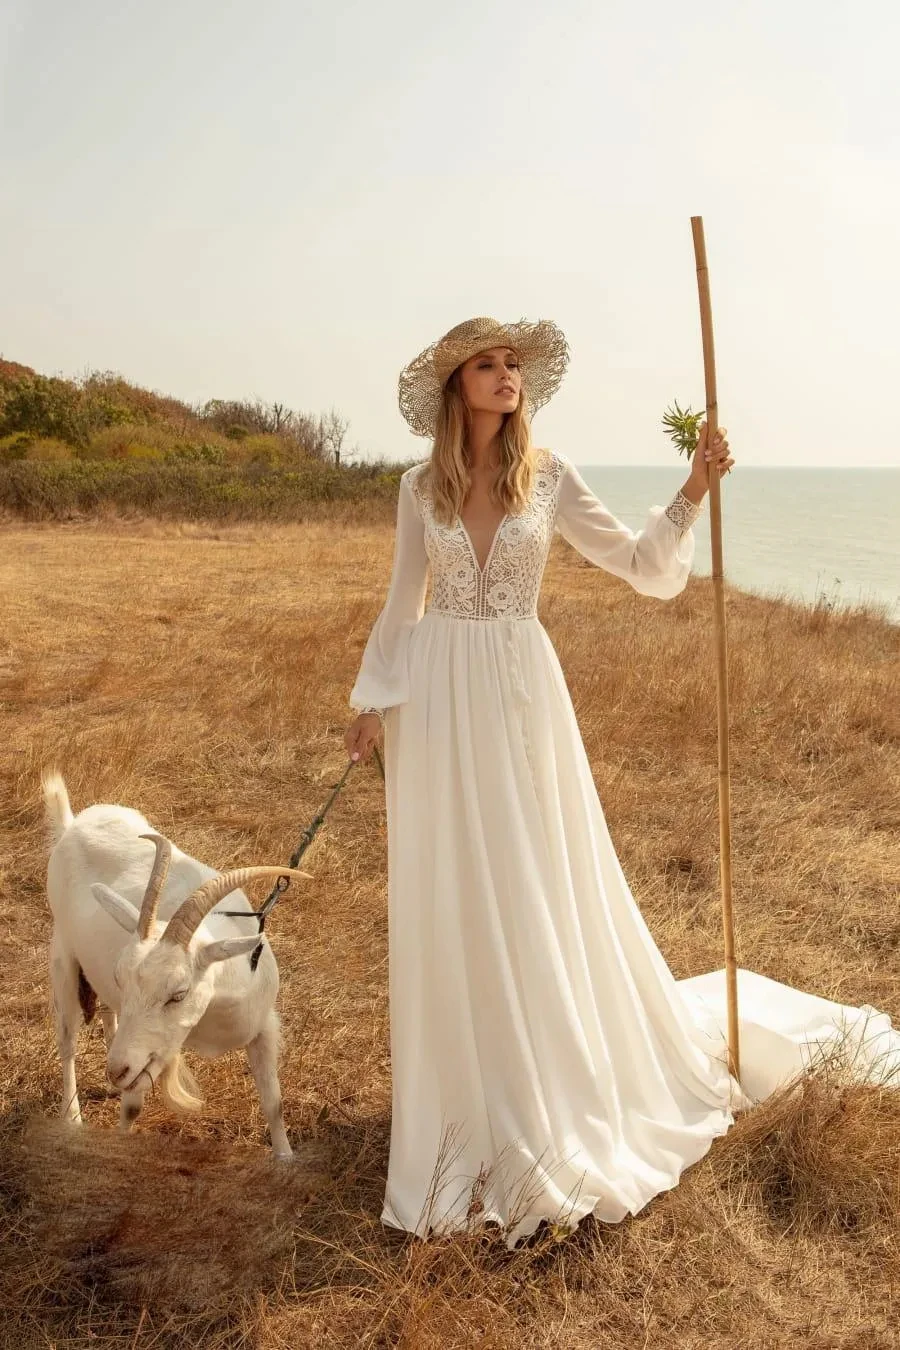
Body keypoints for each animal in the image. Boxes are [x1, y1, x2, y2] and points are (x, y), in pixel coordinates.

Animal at [44, 766, 310, 1155]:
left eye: (178, 994)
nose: (117, 1070)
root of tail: (71, 824)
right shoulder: (151, 1055)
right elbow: (134, 1107)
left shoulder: (262, 1027)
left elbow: (274, 1102)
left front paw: (286, 1158)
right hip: (63, 957)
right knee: (67, 1041)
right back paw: (73, 1118)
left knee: (108, 1010)